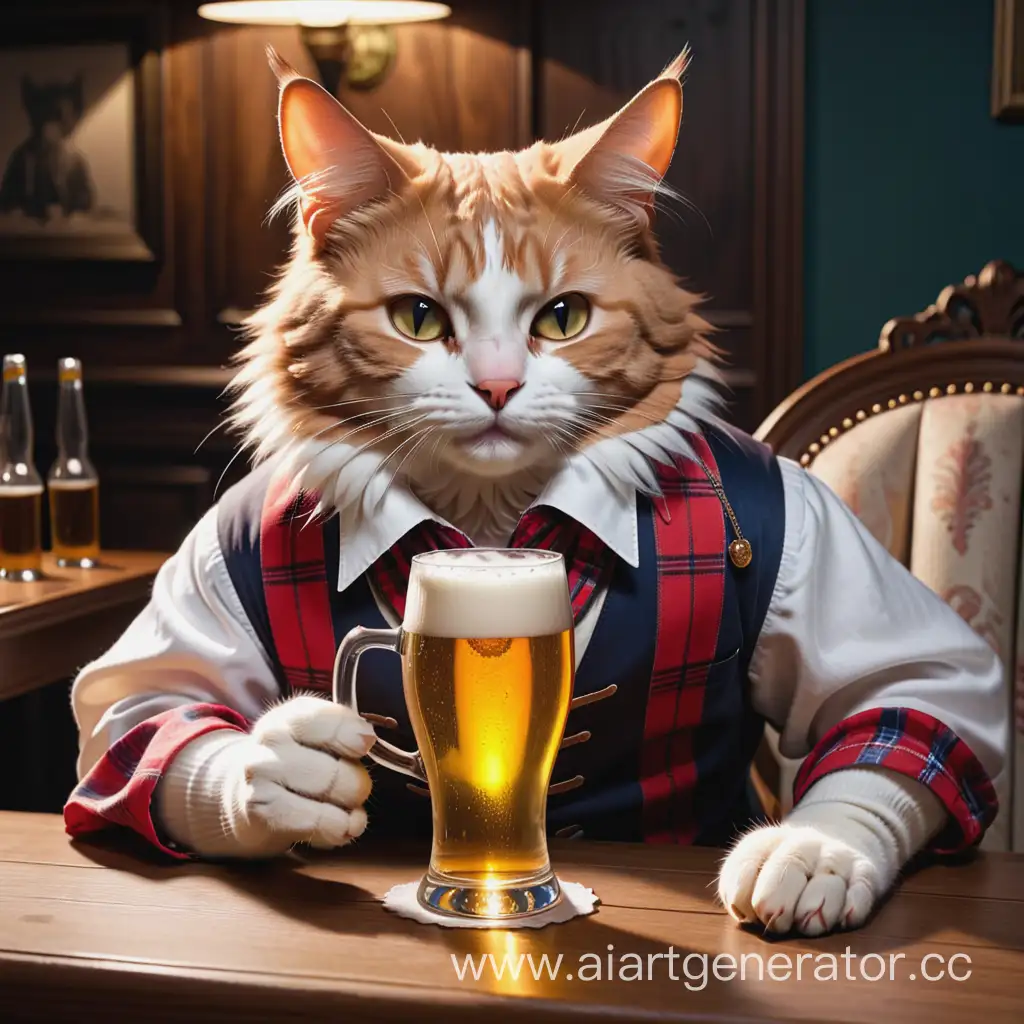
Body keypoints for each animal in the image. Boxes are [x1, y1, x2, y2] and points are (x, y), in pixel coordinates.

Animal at [64, 54, 999, 937]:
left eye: (562, 318)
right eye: (416, 319)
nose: (499, 386)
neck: (490, 520)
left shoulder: (820, 544)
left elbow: (905, 701)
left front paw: (812, 852)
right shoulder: (210, 564)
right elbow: (143, 714)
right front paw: (284, 771)